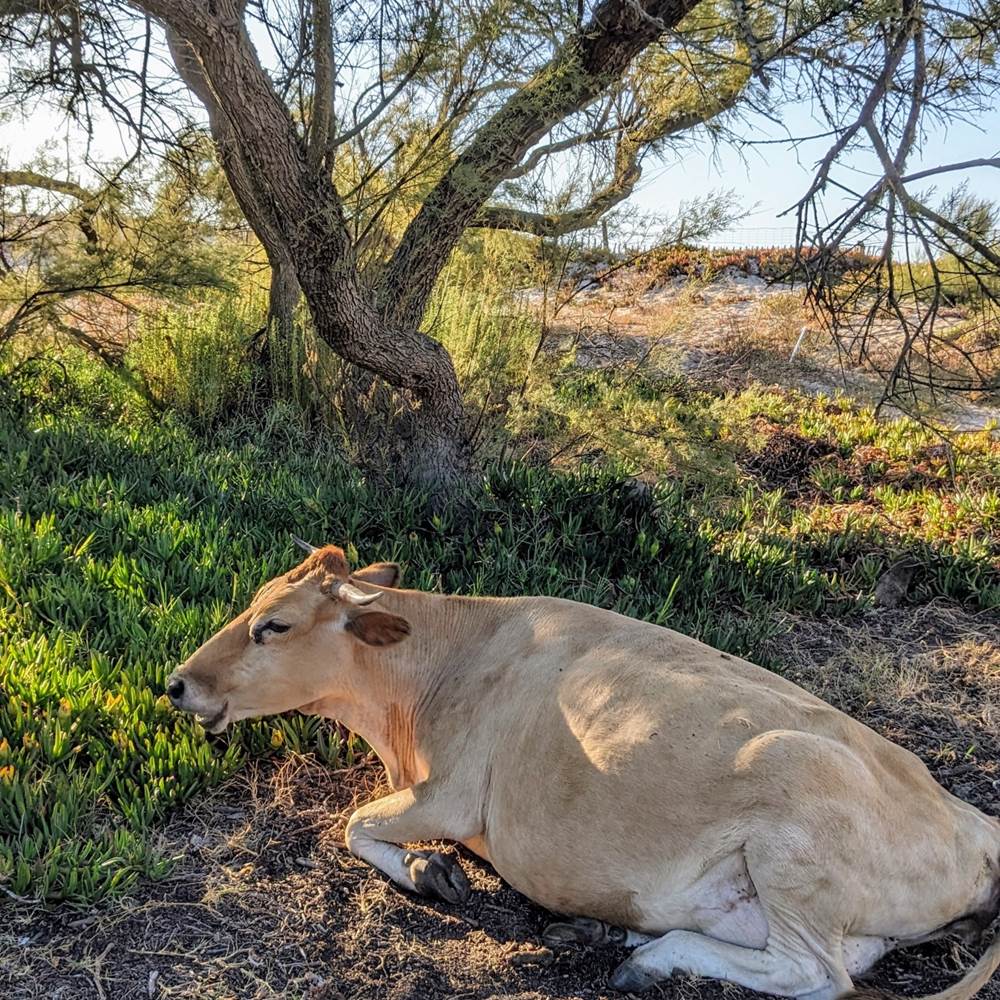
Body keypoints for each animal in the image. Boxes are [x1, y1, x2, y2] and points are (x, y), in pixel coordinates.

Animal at [165, 541, 1000, 1000]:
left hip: (793, 823)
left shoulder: (454, 796)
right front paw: (429, 868)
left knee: (819, 974)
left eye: (273, 626)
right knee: (841, 955)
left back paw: (651, 957)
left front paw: (429, 870)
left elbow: (351, 824)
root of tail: (972, 819)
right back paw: (624, 938)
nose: (176, 683)